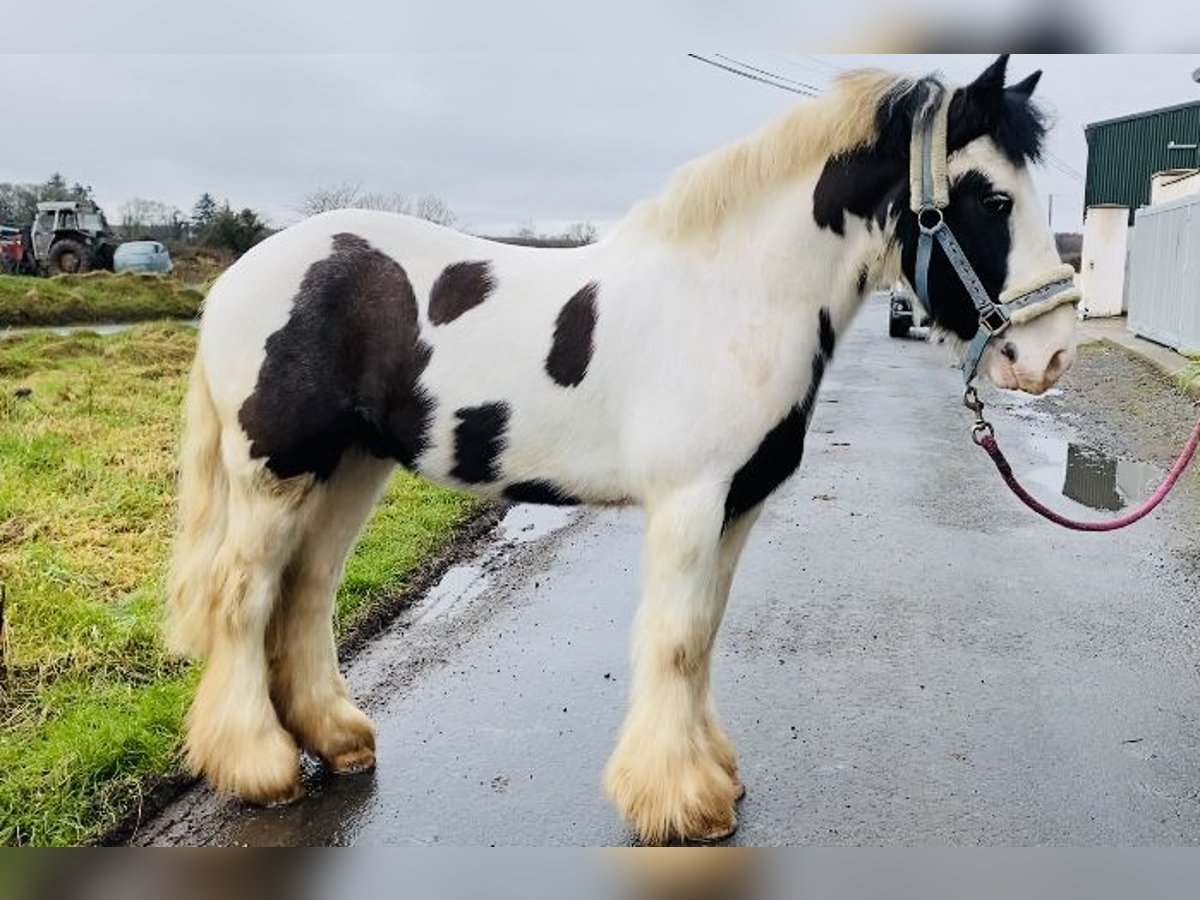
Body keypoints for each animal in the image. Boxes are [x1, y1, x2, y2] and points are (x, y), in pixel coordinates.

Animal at [166, 56, 1080, 844]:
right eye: (991, 199)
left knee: (307, 591)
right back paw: (259, 767)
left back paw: (337, 738)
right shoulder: (689, 503)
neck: (735, 300)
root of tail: (239, 277)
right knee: (243, 597)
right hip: (277, 475)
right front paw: (681, 802)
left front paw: (714, 774)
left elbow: (703, 634)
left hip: (351, 468)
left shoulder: (738, 504)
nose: (1052, 357)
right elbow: (673, 639)